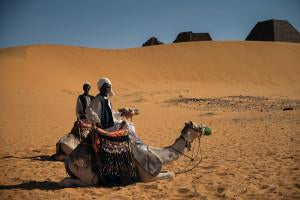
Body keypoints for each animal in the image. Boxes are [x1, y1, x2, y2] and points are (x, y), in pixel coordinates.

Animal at [59, 121, 210, 187]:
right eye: (197, 126)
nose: (207, 128)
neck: (160, 155)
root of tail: (68, 160)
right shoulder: (147, 177)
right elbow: (171, 174)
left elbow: (169, 171)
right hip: (87, 172)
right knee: (80, 181)